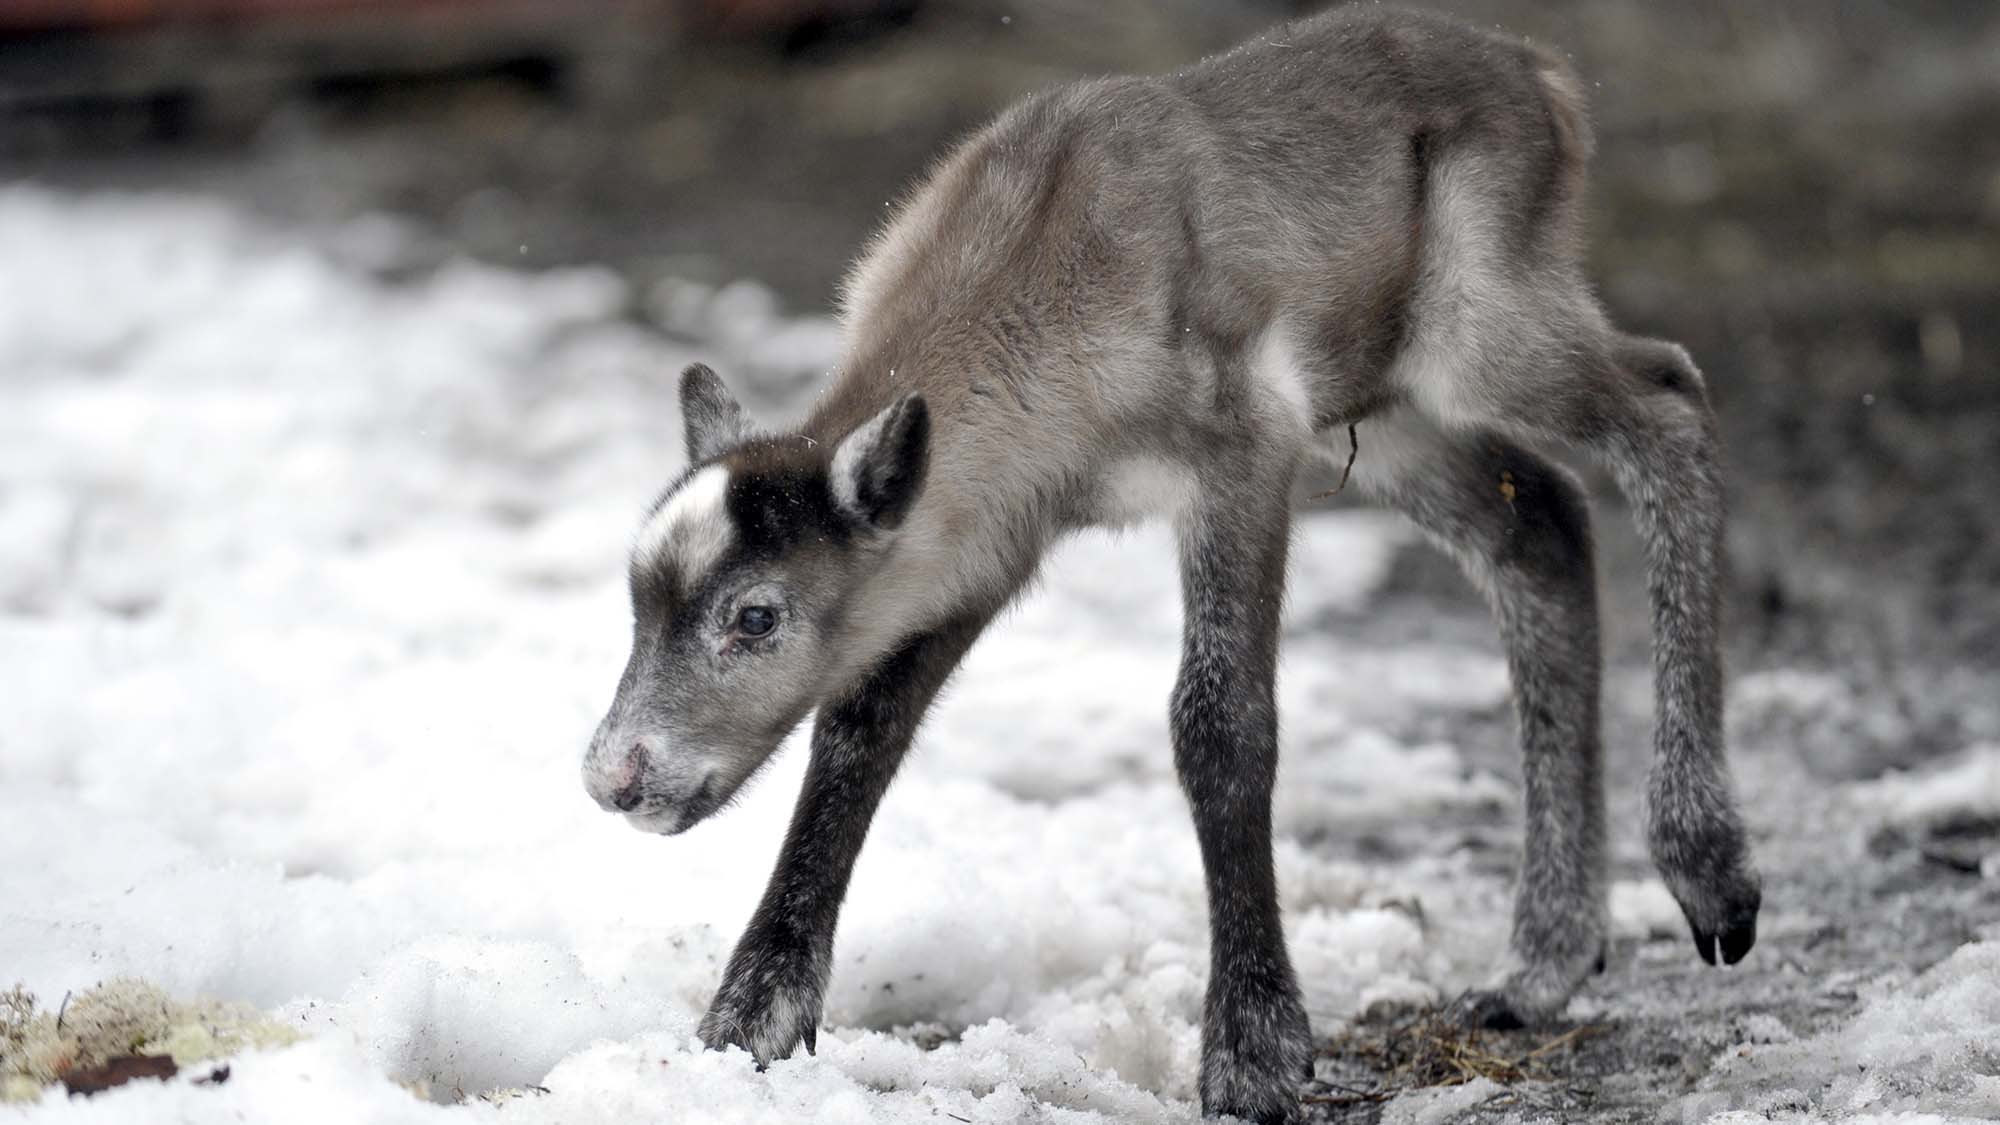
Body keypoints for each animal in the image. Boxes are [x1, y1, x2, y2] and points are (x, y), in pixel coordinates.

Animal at [584, 6, 1768, 1112]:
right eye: (636, 603)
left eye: (756, 616)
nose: (612, 778)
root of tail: (1543, 76)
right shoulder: (977, 541)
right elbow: (858, 731)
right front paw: (751, 1016)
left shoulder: (1243, 455)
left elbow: (1219, 724)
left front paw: (1254, 1049)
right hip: (1383, 409)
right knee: (1542, 526)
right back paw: (1543, 962)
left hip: (1480, 329)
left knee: (1666, 399)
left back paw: (1706, 872)